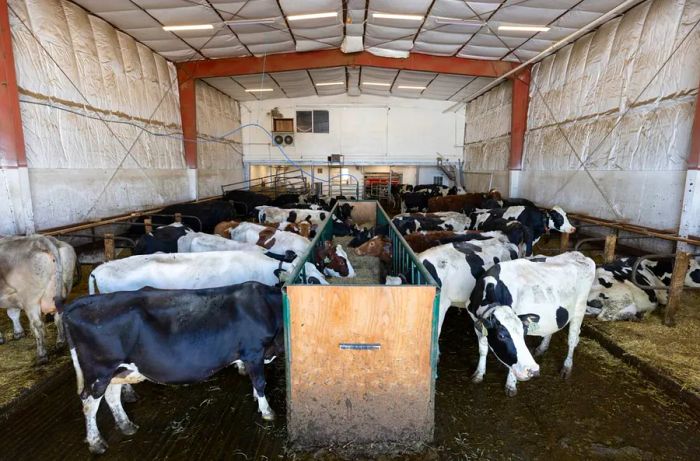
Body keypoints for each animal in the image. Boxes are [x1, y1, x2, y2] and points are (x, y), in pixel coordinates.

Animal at [61, 280, 284, 452]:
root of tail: (82, 302)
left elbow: (255, 381)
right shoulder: (254, 351)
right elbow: (260, 382)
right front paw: (267, 411)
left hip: (118, 370)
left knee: (111, 395)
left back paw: (126, 425)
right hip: (100, 370)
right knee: (89, 403)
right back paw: (96, 442)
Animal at [468, 252, 592, 396]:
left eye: (523, 333)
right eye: (501, 336)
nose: (533, 370)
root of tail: (579, 255)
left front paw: (511, 385)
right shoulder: (476, 323)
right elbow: (483, 350)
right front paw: (479, 374)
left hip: (580, 308)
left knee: (572, 340)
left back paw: (566, 367)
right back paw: (541, 348)